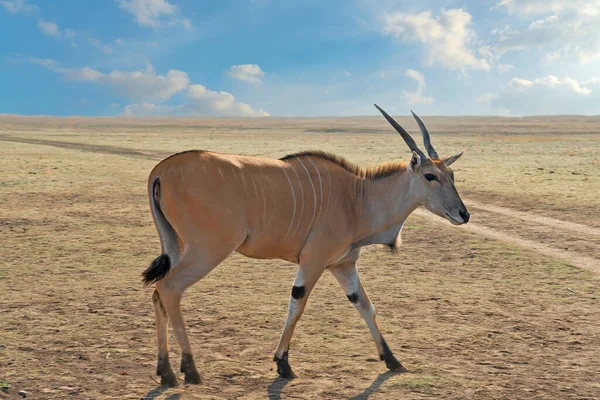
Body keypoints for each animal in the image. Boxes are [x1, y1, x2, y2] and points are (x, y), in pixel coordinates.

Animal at [144, 104, 468, 386]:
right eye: (430, 175)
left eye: (451, 175)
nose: (463, 214)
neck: (356, 198)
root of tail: (161, 170)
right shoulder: (314, 261)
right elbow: (297, 305)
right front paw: (283, 364)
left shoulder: (343, 265)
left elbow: (365, 305)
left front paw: (392, 360)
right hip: (208, 250)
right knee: (169, 288)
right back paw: (190, 370)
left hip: (177, 247)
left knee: (159, 294)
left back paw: (165, 372)